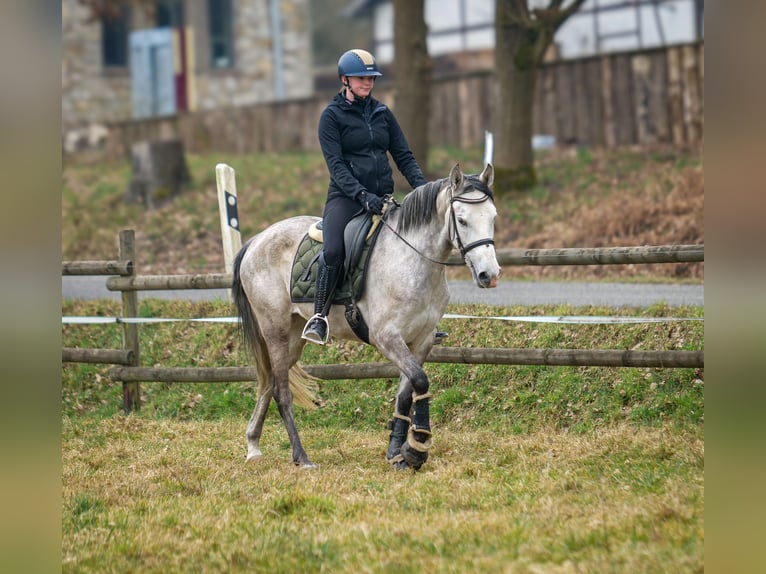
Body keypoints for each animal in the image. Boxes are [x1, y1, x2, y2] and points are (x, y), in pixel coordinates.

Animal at [231, 164, 500, 470]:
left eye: (493, 217)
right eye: (462, 220)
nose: (489, 276)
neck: (412, 261)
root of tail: (256, 240)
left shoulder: (422, 341)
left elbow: (405, 393)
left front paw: (397, 452)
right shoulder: (386, 337)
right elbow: (421, 381)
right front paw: (417, 447)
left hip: (294, 337)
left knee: (269, 383)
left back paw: (253, 445)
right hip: (274, 330)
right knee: (281, 391)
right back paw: (301, 456)